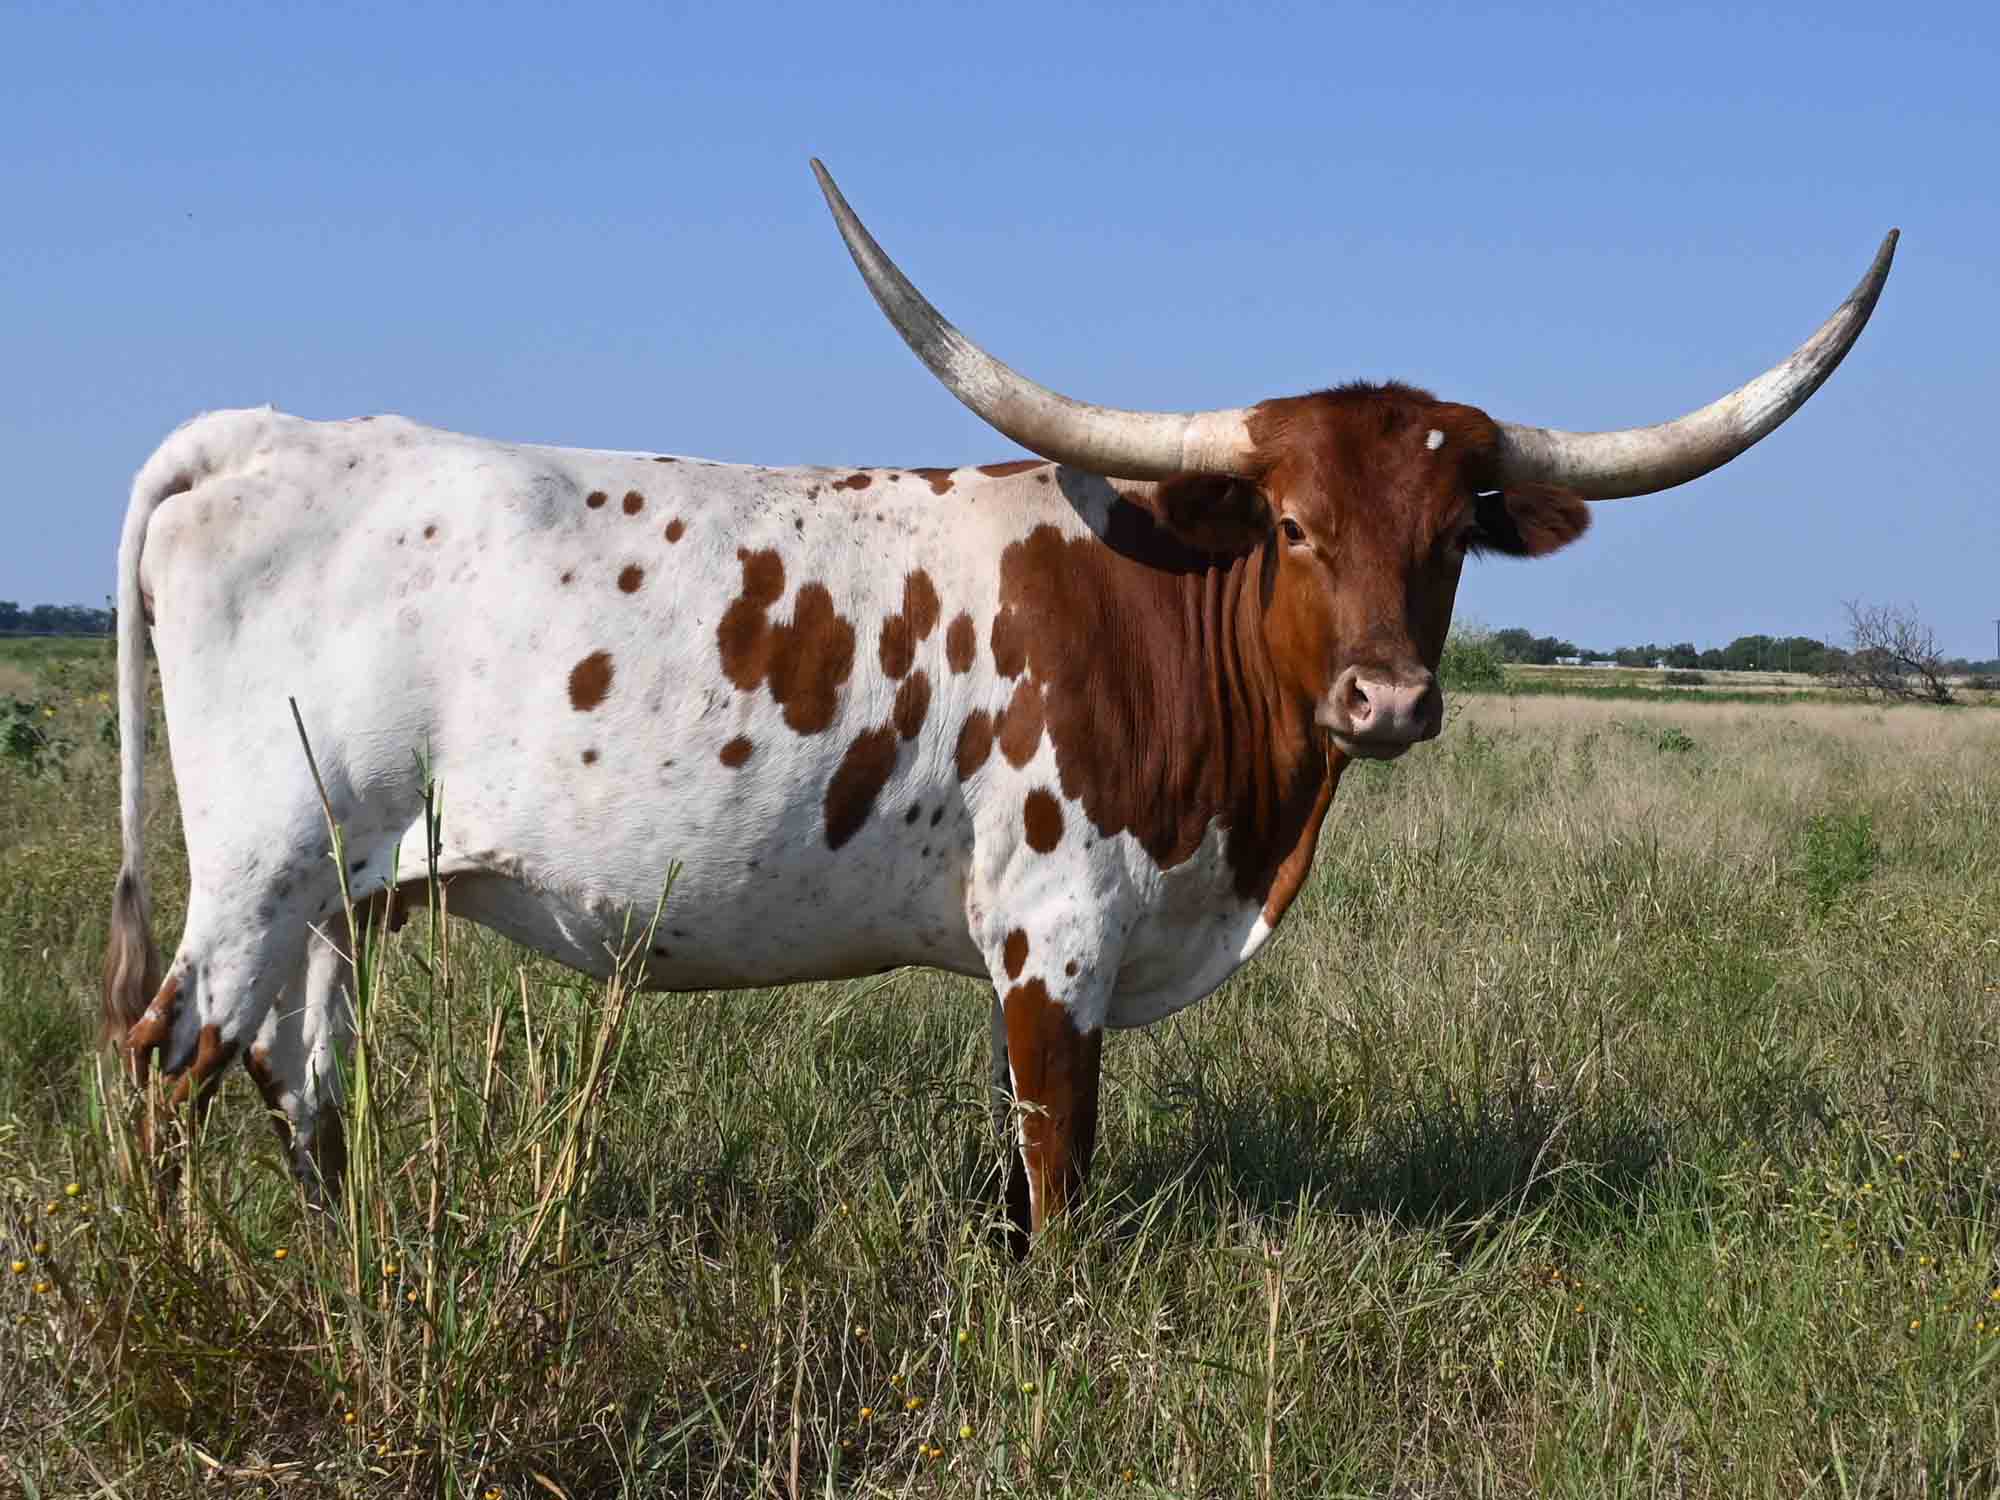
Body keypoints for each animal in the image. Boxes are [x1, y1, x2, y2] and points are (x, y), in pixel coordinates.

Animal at [104, 161, 1895, 1245]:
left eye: (1456, 527)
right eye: (1294, 521)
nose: (1386, 699)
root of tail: (261, 435)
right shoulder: (1056, 935)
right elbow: (1059, 1168)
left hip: (342, 894)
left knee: (297, 1072)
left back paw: (343, 1255)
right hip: (259, 866)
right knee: (167, 1057)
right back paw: (174, 1282)